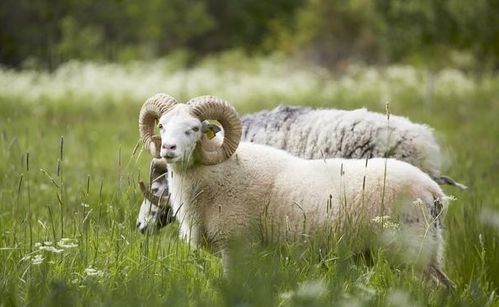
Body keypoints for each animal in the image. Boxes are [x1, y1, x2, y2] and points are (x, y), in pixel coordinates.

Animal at [138, 93, 458, 288]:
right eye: (162, 125)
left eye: (194, 128)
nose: (168, 149)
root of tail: (434, 192)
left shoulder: (237, 246)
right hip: (424, 252)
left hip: (412, 251)